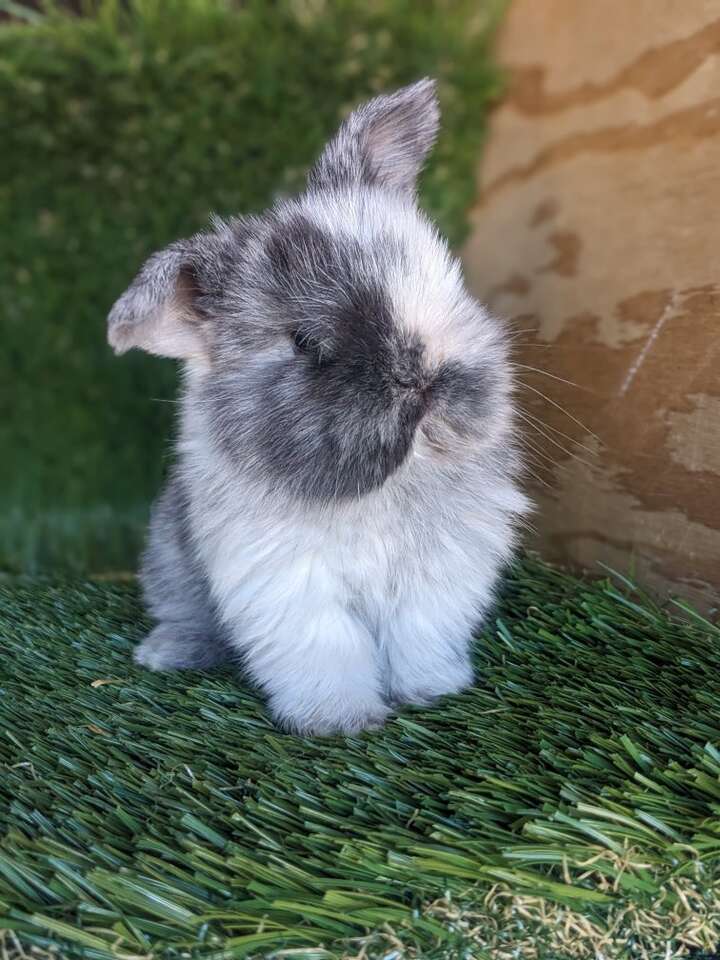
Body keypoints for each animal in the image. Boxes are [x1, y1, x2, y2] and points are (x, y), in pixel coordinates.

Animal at [105, 79, 528, 736]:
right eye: (305, 343)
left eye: (431, 276)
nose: (421, 379)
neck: (385, 488)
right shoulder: (289, 585)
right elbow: (327, 651)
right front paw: (343, 721)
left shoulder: (438, 577)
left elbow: (419, 639)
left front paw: (432, 691)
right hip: (170, 565)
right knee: (184, 615)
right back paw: (165, 654)